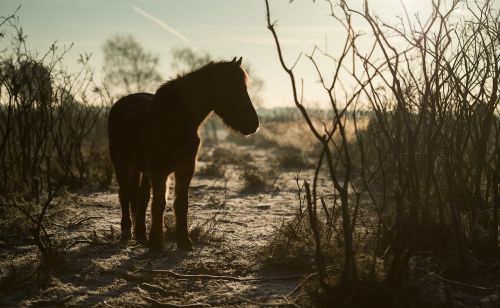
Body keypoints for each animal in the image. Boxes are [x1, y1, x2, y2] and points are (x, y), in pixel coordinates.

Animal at [108, 56, 260, 251]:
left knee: (141, 196)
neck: (176, 119)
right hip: (121, 164)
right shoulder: (160, 170)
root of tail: (119, 104)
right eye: (230, 88)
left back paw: (141, 235)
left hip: (140, 169)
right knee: (124, 195)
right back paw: (127, 231)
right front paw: (156, 243)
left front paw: (183, 241)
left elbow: (181, 203)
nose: (253, 124)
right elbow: (159, 204)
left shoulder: (185, 168)